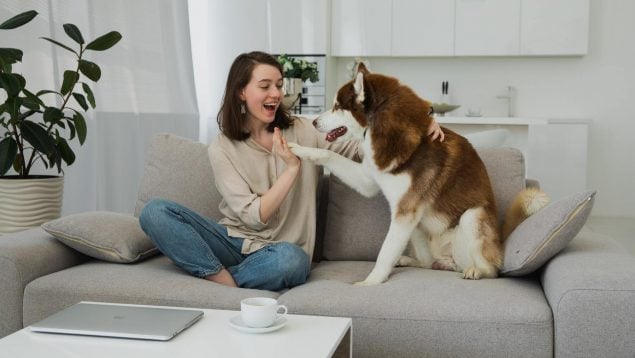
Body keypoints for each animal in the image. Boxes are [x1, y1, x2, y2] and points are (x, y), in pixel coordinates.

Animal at [290, 64, 548, 286]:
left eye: (337, 106)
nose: (313, 121)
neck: (382, 129)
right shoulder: (370, 182)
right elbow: (328, 154)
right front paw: (300, 149)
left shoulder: (405, 212)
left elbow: (384, 252)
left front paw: (370, 282)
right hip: (418, 230)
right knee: (427, 262)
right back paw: (409, 260)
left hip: (472, 217)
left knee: (492, 269)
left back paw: (477, 270)